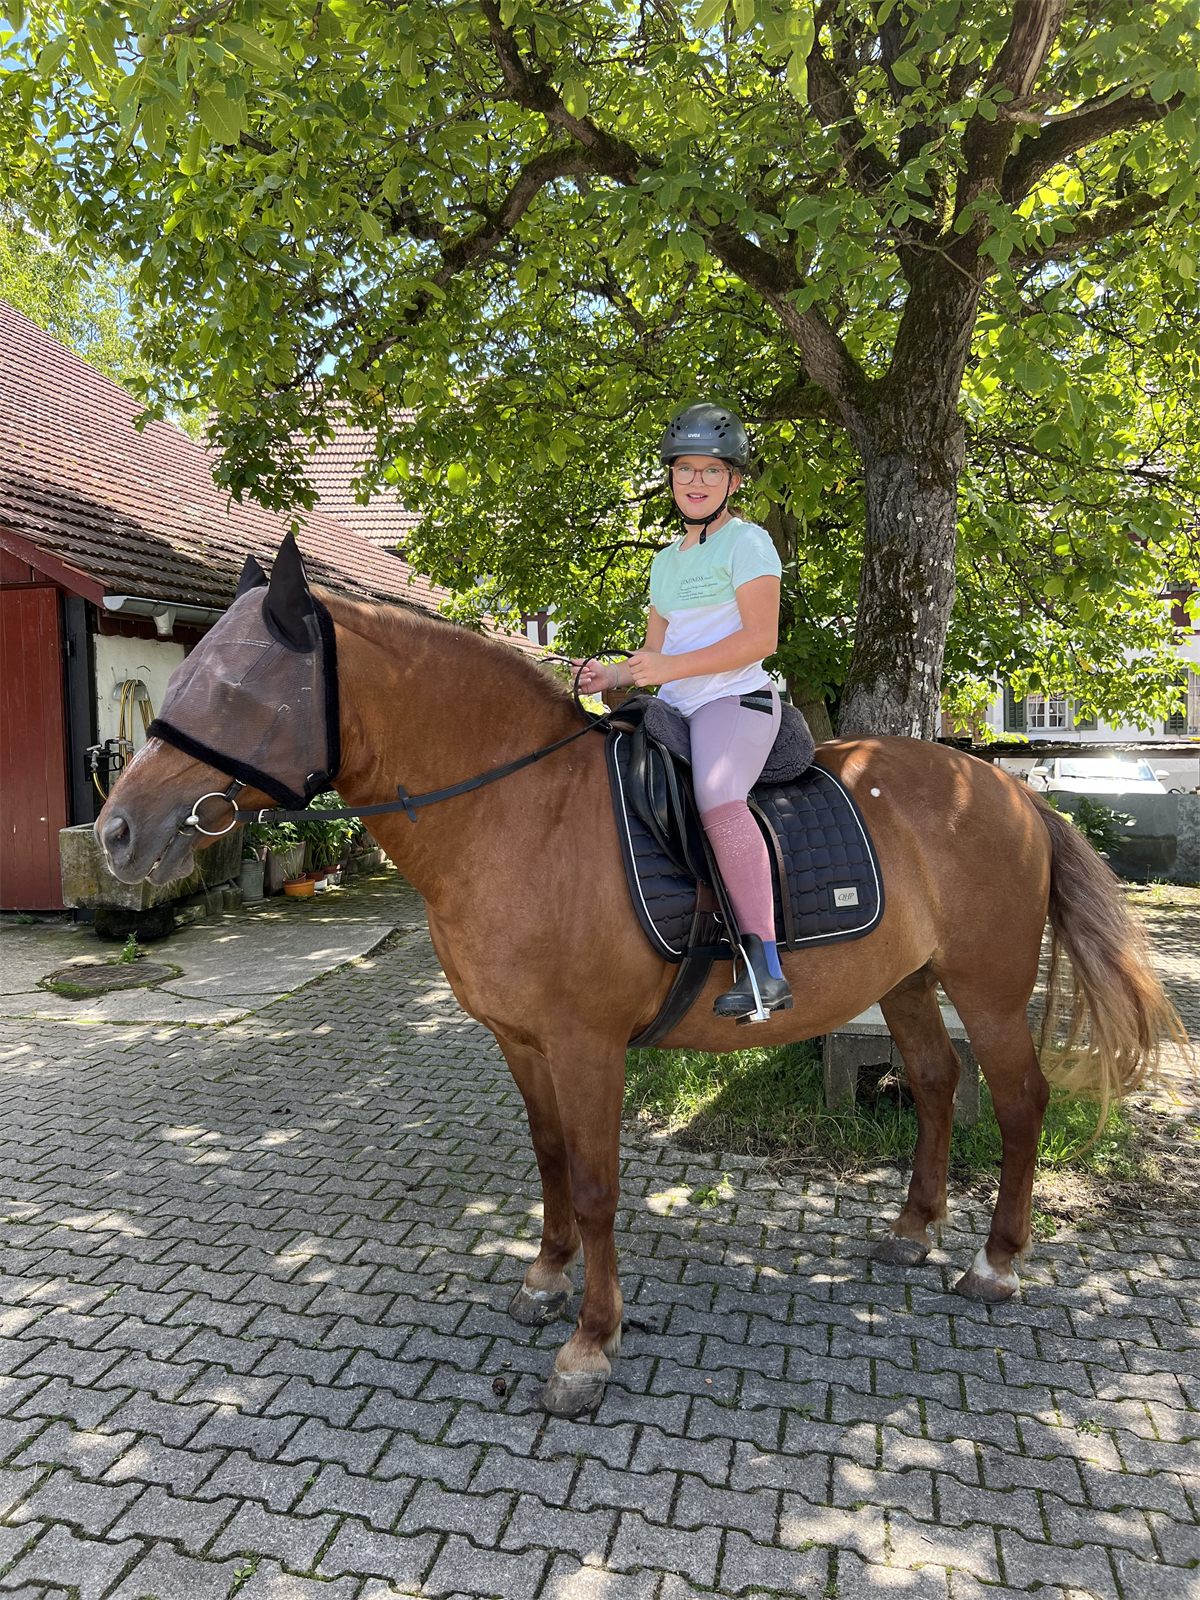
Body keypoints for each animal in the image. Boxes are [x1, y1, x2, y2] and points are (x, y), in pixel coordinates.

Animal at [96, 537, 1186, 1417]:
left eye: (235, 692)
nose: (114, 834)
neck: (518, 809)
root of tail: (1003, 785)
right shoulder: (519, 1040)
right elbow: (547, 1161)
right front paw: (544, 1281)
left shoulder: (587, 1045)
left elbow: (594, 1183)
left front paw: (590, 1344)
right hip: (910, 982)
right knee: (934, 1082)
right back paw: (913, 1232)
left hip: (988, 986)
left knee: (1020, 1099)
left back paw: (997, 1264)